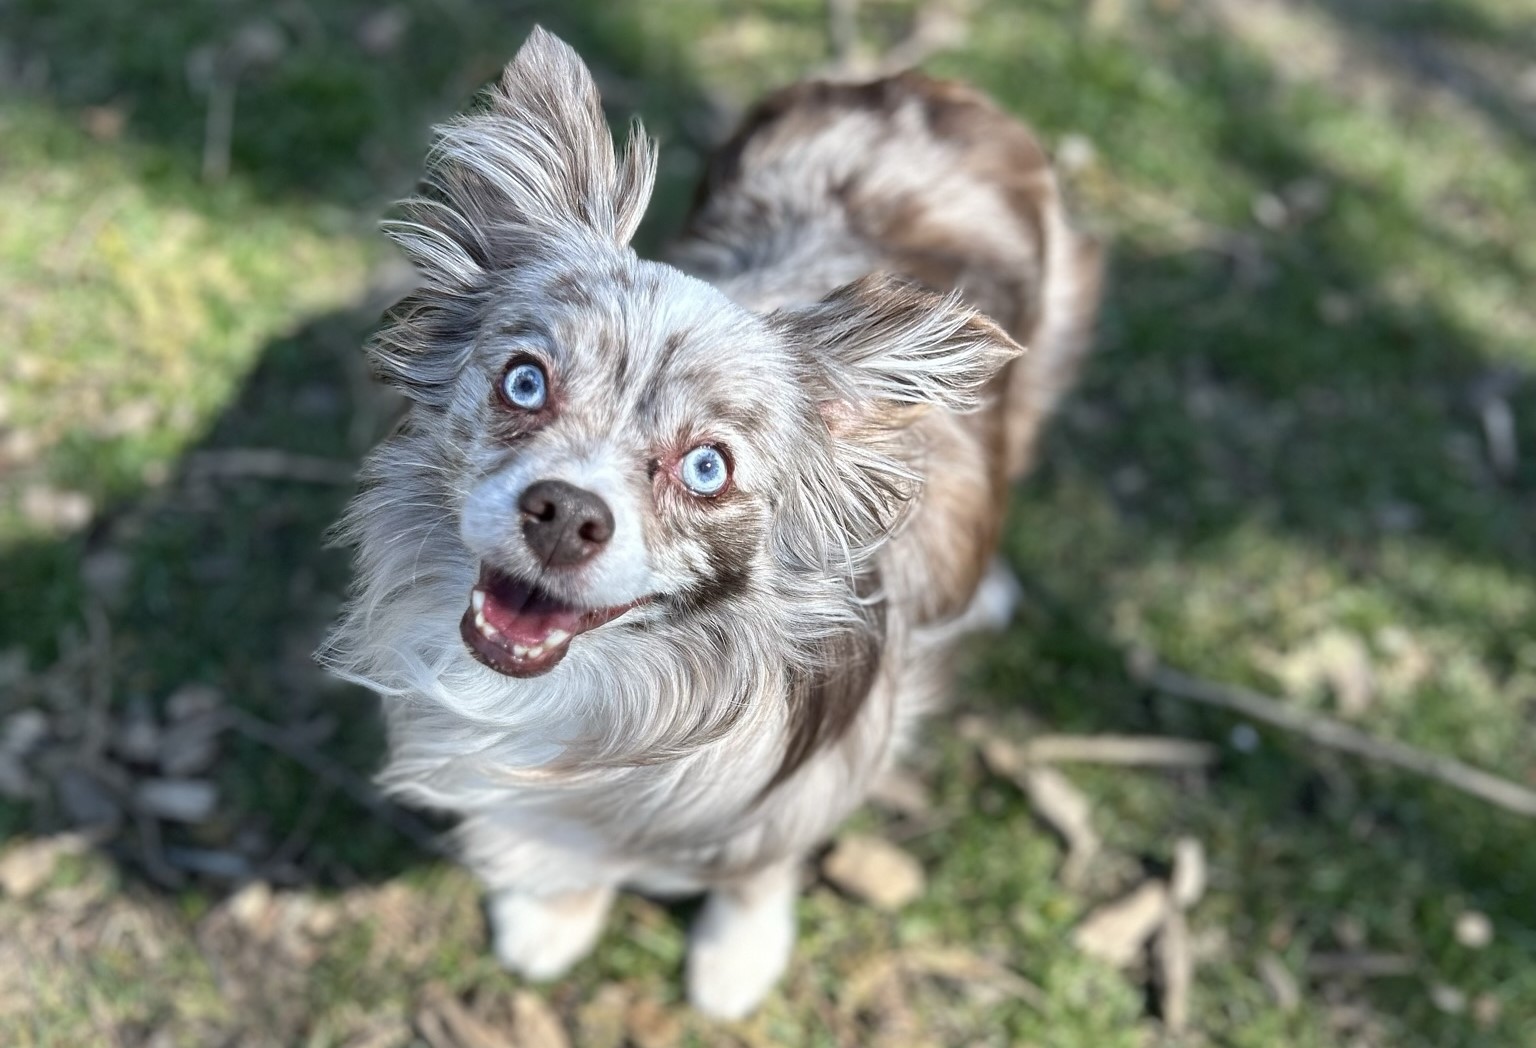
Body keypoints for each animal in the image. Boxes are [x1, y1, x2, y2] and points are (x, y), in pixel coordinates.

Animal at [317, 28, 1099, 1014]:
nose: (566, 513)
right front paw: (557, 916)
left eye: (707, 468)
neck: (620, 684)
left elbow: (758, 867)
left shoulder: (809, 777)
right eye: (526, 381)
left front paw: (737, 956)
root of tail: (917, 85)